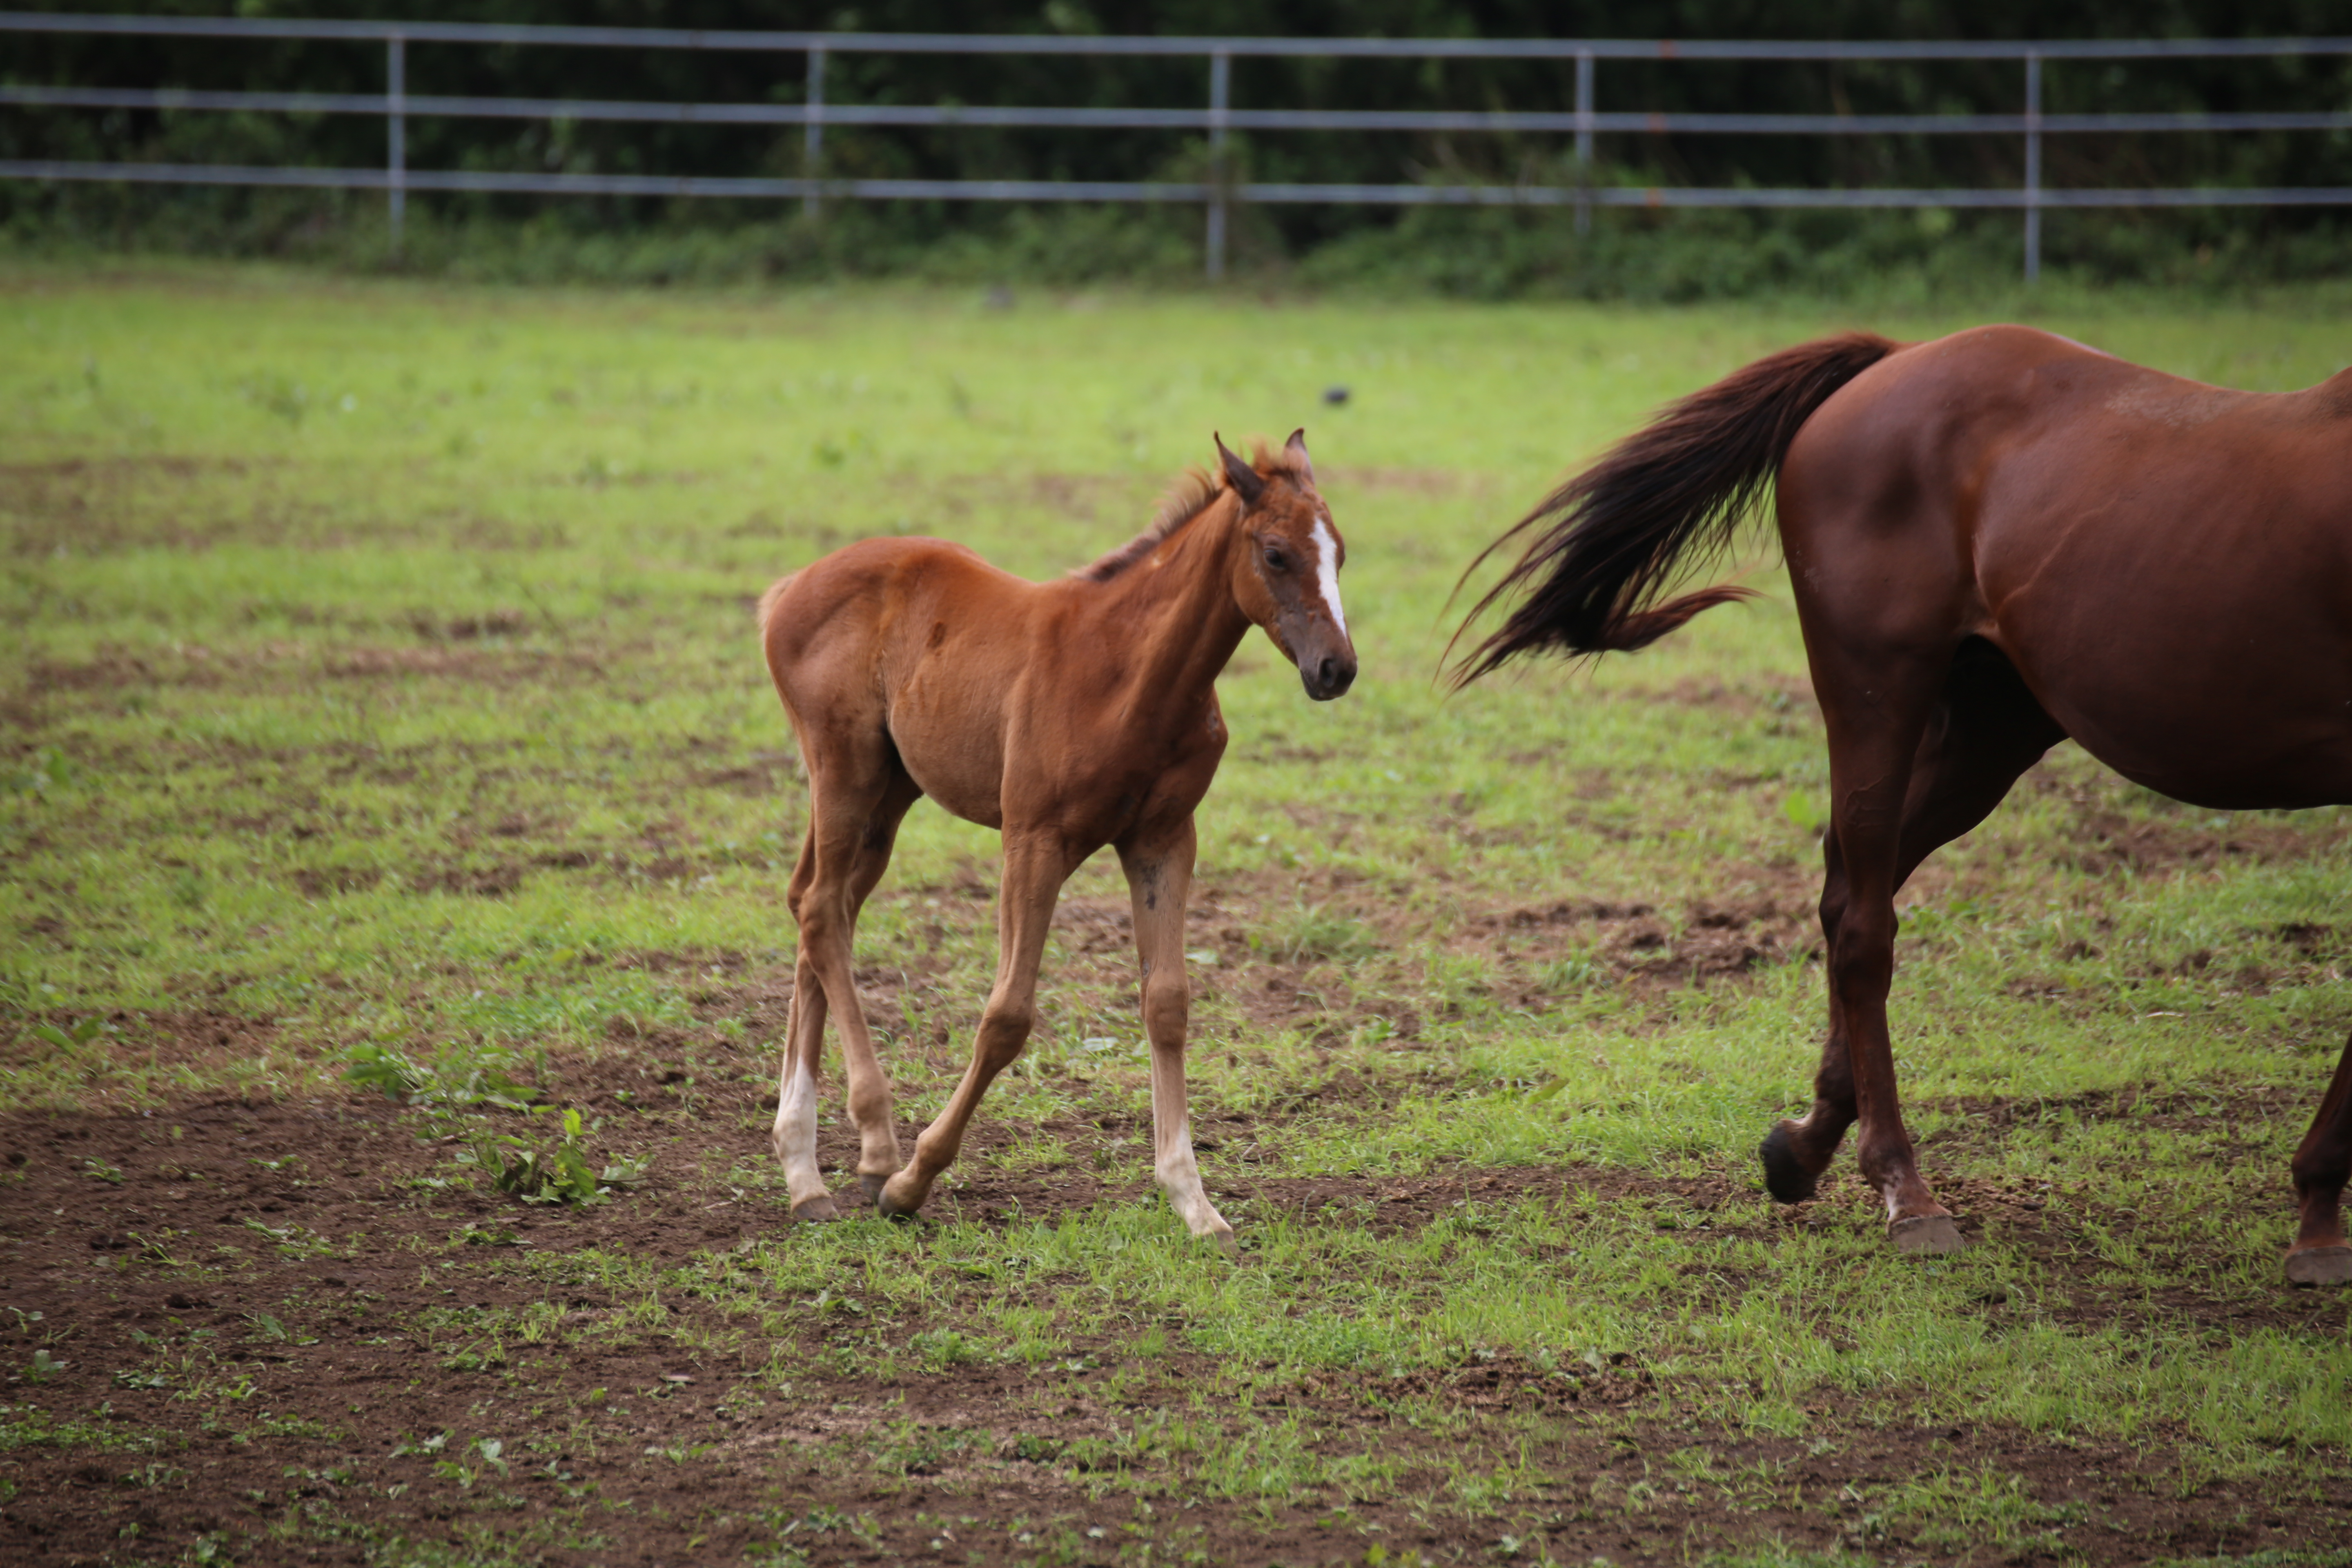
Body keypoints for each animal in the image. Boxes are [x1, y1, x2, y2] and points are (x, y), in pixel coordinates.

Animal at [762, 430, 1354, 1250]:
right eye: (1275, 554)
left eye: (1342, 554)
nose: (1337, 669)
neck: (1131, 673)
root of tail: (790, 587)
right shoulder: (1033, 840)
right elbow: (1007, 1016)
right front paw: (914, 1180)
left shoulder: (1164, 840)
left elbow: (1167, 1002)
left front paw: (1193, 1200)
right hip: (842, 769)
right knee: (821, 909)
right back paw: (876, 1147)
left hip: (890, 791)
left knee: (820, 910)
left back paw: (803, 1172)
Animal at [1458, 322, 2342, 1288]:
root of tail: (1900, 354)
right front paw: (2320, 1209)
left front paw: (2320, 1210)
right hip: (1880, 690)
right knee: (1863, 927)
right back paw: (1903, 1191)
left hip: (1993, 724)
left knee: (1846, 893)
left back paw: (1805, 1147)